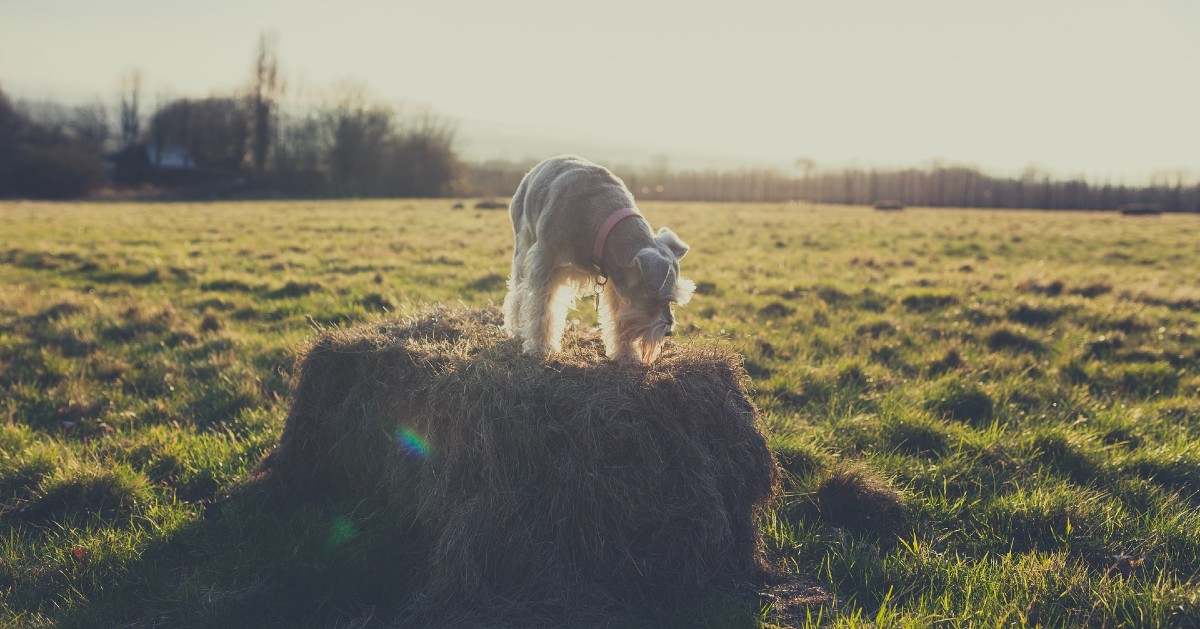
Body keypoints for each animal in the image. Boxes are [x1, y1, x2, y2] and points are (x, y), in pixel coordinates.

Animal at [504, 154, 696, 362]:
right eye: (658, 300)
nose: (669, 332)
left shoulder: (615, 282)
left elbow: (617, 317)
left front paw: (626, 353)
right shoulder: (545, 265)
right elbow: (542, 310)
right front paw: (540, 348)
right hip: (522, 247)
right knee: (517, 292)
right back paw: (517, 329)